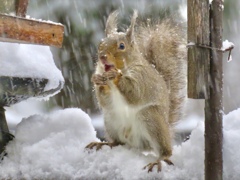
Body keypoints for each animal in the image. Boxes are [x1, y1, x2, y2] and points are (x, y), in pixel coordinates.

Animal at [86, 10, 188, 173]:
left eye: (122, 46)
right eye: (100, 44)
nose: (102, 57)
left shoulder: (142, 79)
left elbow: (135, 93)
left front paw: (116, 76)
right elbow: (104, 100)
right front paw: (97, 80)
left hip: (152, 119)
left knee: (165, 151)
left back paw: (158, 161)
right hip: (111, 120)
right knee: (117, 142)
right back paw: (104, 143)